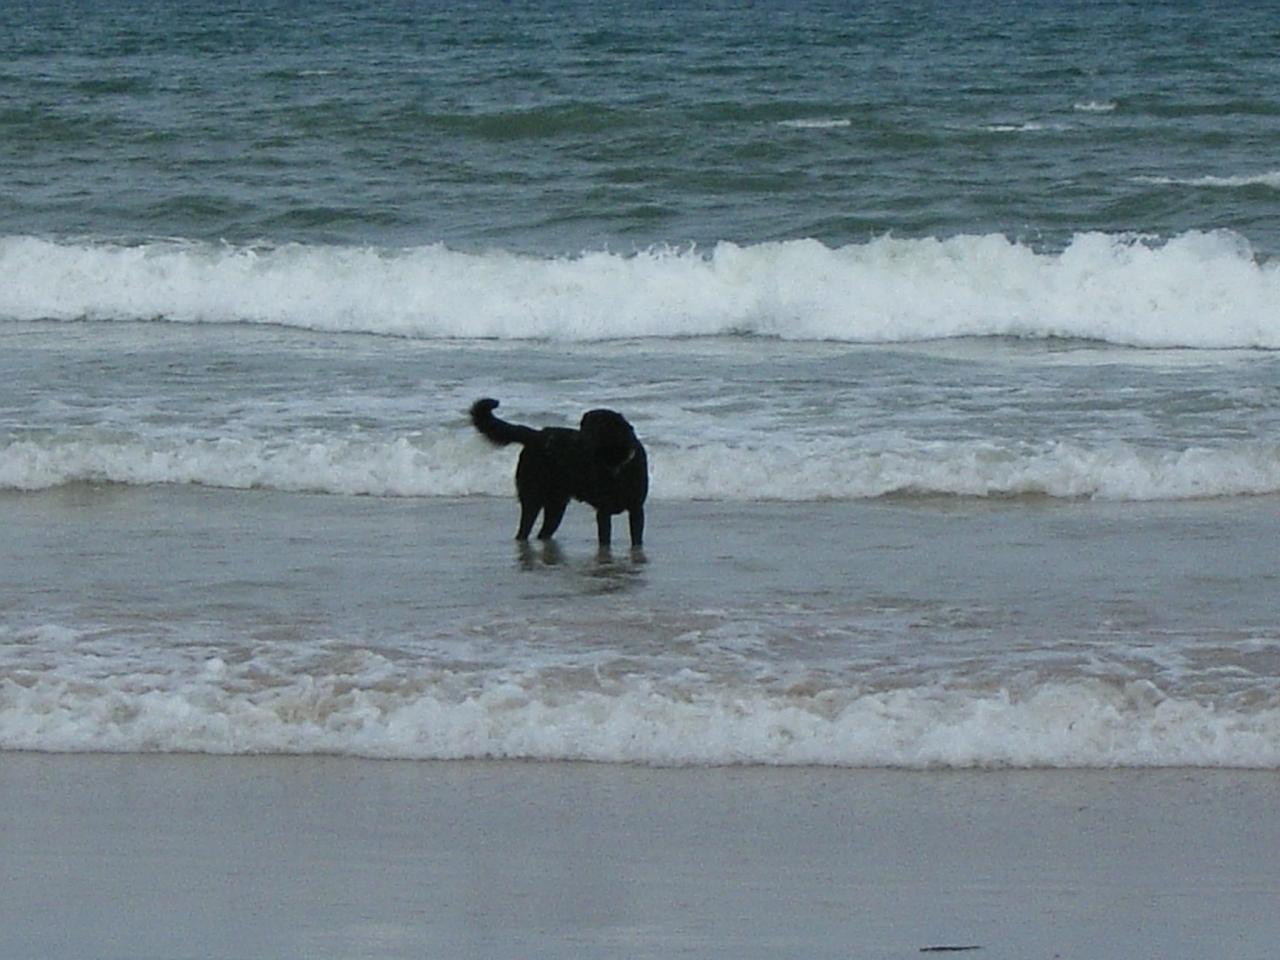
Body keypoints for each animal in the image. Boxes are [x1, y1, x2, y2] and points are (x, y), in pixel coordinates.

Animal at [470, 398, 648, 547]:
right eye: (583, 425)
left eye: (597, 427)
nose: (576, 441)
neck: (617, 464)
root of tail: (536, 435)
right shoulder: (603, 511)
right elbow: (605, 540)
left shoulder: (637, 509)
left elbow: (636, 539)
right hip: (532, 498)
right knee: (523, 531)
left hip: (556, 505)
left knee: (543, 532)